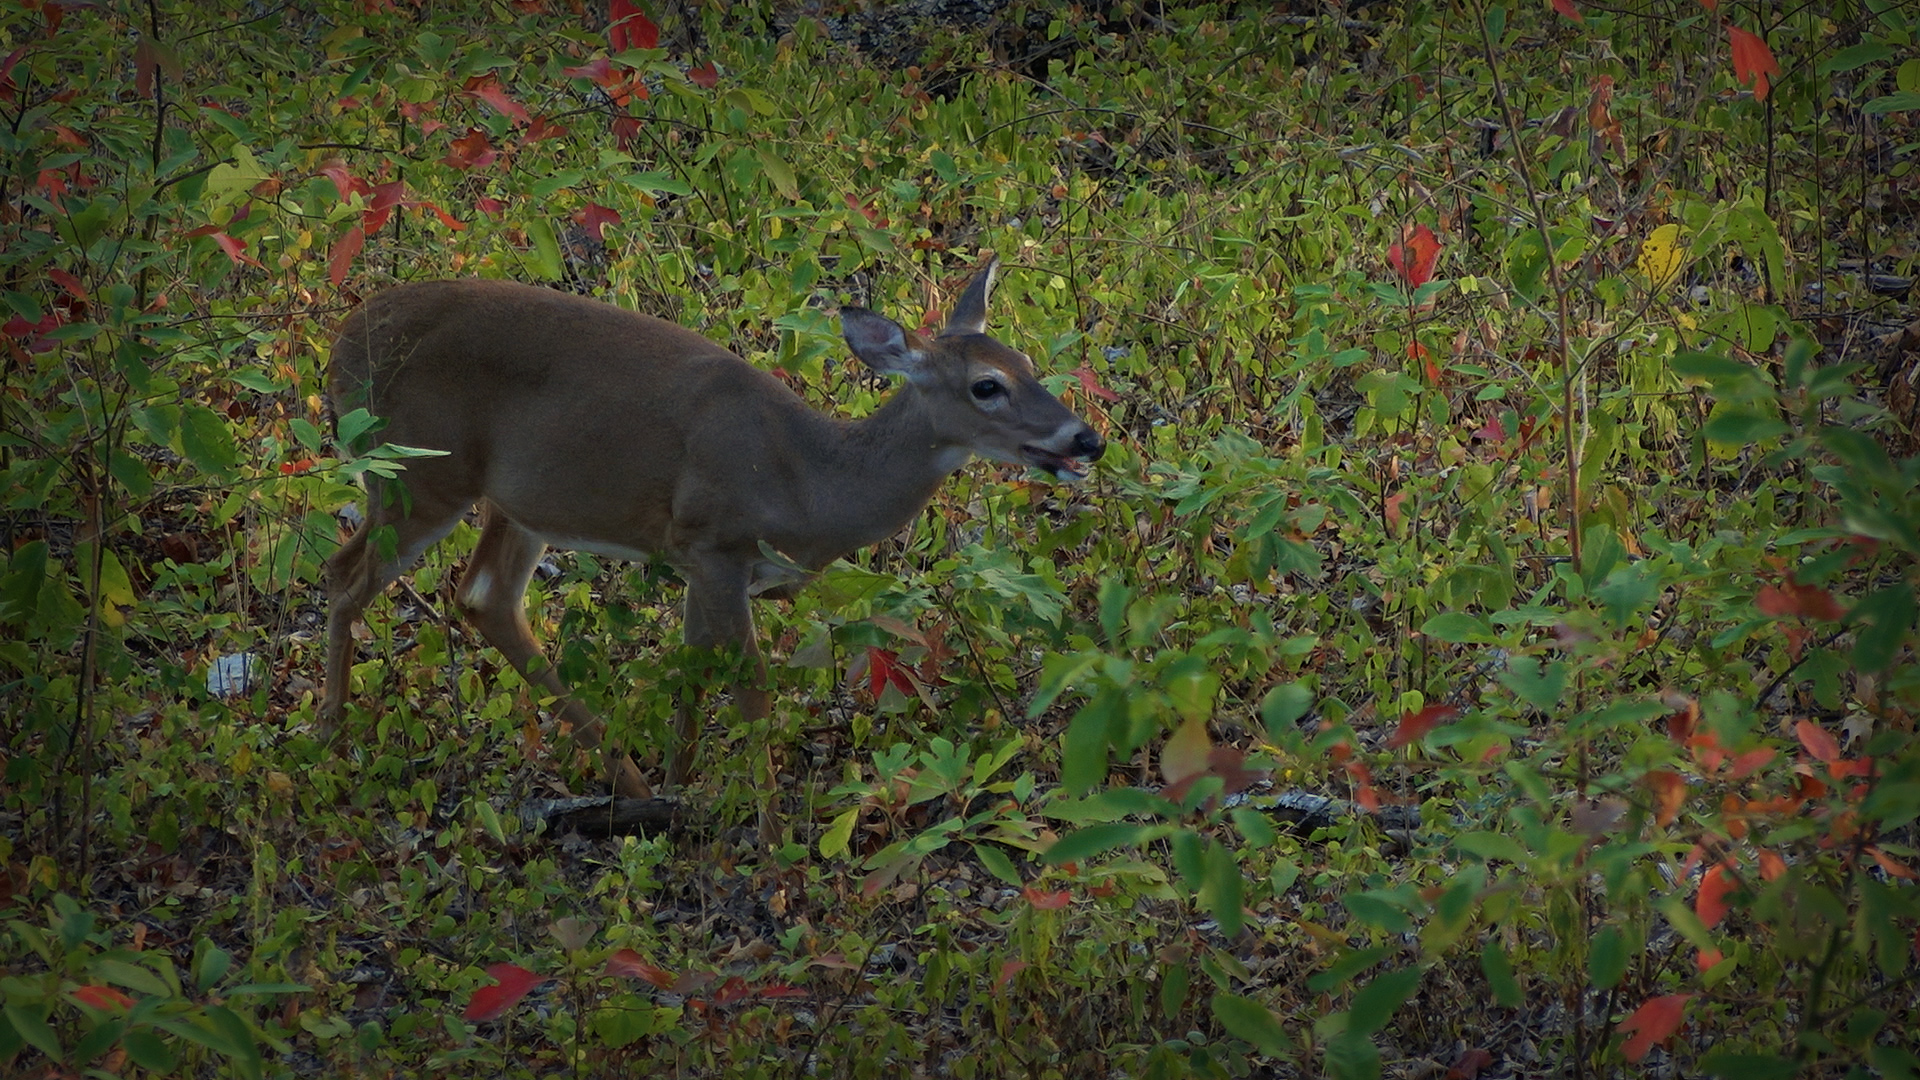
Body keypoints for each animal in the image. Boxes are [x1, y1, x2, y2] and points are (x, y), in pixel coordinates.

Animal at [324, 255, 1113, 795]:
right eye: (986, 386)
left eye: (1027, 361)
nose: (1086, 439)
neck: (810, 481)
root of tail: (339, 349)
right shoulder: (713, 544)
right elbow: (752, 690)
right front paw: (769, 848)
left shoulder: (695, 560)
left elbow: (691, 670)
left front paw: (681, 787)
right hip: (417, 472)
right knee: (346, 576)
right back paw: (329, 743)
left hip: (519, 500)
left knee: (483, 595)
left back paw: (632, 782)